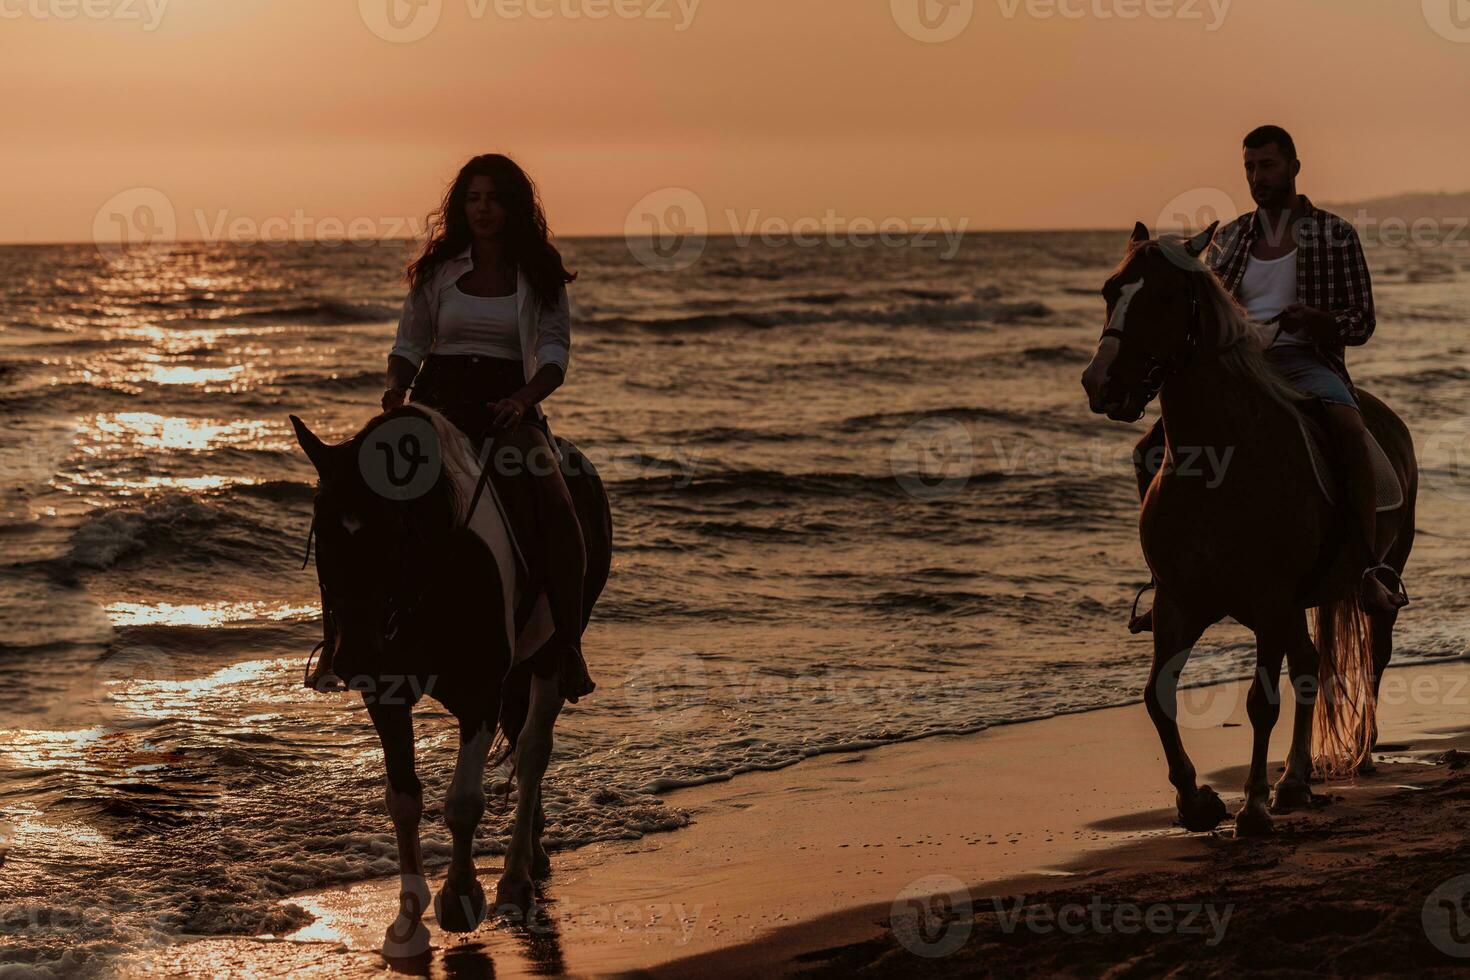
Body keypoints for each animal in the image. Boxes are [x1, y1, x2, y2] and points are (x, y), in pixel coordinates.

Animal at [286, 405, 608, 957]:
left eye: (390, 535)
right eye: (321, 532)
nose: (351, 658)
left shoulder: (480, 694)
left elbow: (462, 803)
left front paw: (460, 897)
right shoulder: (386, 694)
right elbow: (403, 800)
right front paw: (407, 924)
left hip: (550, 656)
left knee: (533, 751)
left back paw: (516, 882)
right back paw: (536, 853)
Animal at [1081, 226, 1411, 840]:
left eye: (1165, 296)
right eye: (1110, 290)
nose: (1101, 383)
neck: (1220, 462)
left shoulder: (1269, 600)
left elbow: (1262, 702)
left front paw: (1252, 807)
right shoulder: (1180, 603)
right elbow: (1157, 695)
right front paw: (1196, 802)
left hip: (1376, 579)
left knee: (1372, 658)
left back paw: (1359, 751)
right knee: (1308, 667)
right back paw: (1296, 782)